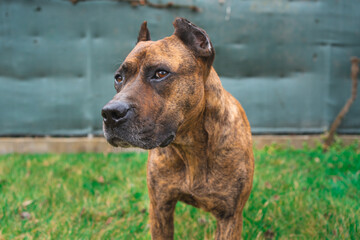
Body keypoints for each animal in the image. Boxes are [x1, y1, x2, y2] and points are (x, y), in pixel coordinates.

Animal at [101, 17, 253, 239]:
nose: (110, 113)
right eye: (118, 77)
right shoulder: (160, 207)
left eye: (160, 73)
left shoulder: (229, 218)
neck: (190, 147)